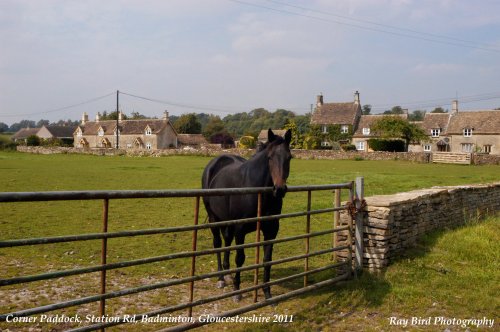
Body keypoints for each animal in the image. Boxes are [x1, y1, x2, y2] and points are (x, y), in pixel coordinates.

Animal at [201, 129, 292, 300]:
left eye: (289, 157)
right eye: (270, 157)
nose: (279, 189)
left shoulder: (271, 229)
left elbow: (267, 259)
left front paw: (267, 292)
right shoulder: (240, 229)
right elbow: (240, 258)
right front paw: (237, 290)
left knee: (226, 240)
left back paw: (227, 273)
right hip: (214, 218)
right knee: (218, 243)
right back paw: (221, 278)